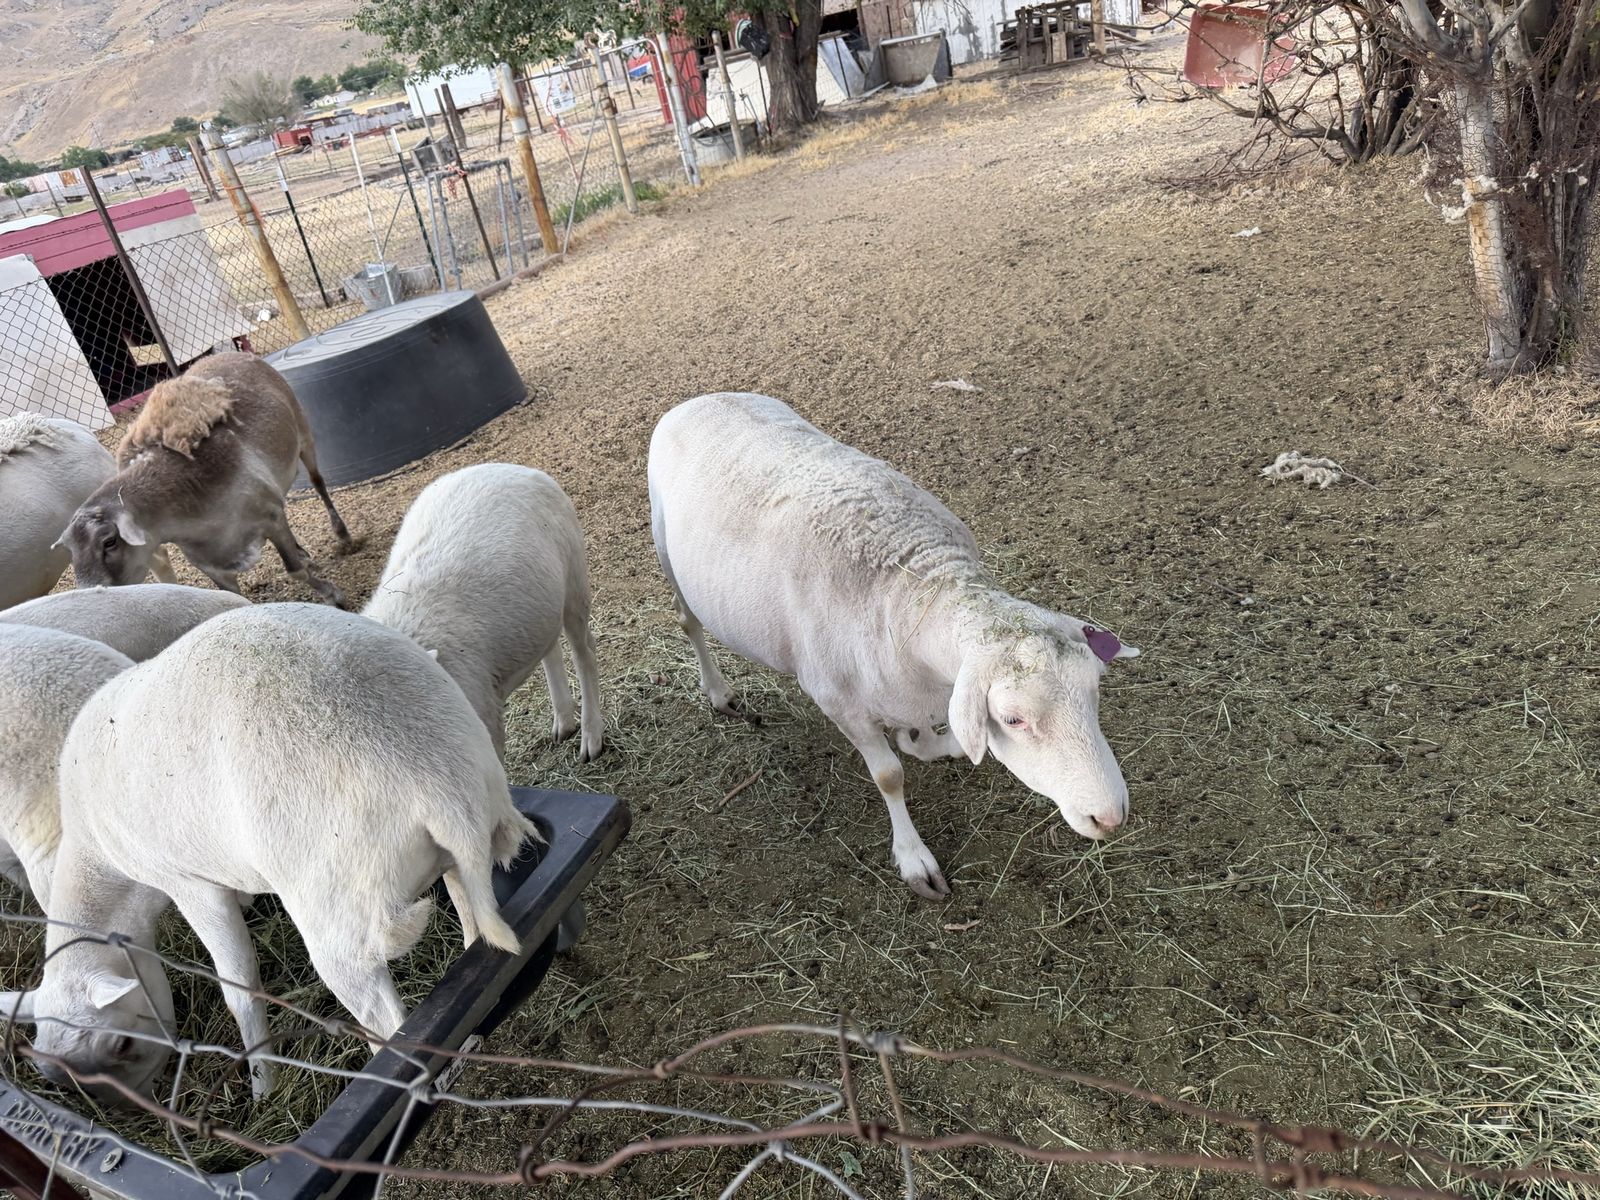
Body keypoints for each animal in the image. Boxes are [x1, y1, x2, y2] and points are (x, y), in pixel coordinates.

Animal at [0, 603, 535, 1101]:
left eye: (121, 1045)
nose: (145, 1103)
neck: (97, 858)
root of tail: (438, 783)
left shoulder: (188, 883)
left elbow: (238, 983)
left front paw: (263, 1084)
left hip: (339, 912)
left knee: (385, 1022)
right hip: (468, 831)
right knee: (471, 916)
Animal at [55, 353, 354, 607]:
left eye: (109, 542)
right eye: (70, 550)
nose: (89, 595)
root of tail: (227, 353)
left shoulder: (270, 517)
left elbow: (295, 571)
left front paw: (334, 596)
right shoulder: (210, 562)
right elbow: (235, 598)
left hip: (303, 433)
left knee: (318, 482)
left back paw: (344, 536)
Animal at [364, 464, 604, 761]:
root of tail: (509, 466)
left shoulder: (484, 716)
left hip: (574, 579)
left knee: (585, 653)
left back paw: (591, 737)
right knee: (550, 648)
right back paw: (564, 722)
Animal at [648, 393, 1139, 900]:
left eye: (1095, 692)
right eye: (1012, 720)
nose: (1110, 818)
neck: (916, 579)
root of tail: (702, 398)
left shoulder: (914, 686)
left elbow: (919, 738)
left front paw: (937, 744)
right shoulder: (839, 702)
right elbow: (889, 776)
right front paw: (913, 857)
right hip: (666, 547)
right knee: (689, 622)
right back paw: (718, 692)